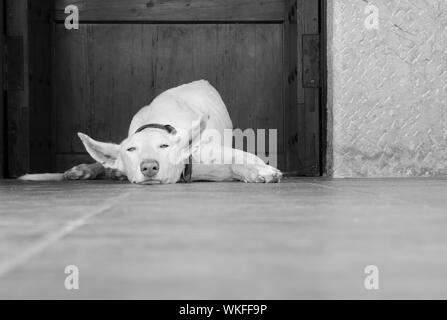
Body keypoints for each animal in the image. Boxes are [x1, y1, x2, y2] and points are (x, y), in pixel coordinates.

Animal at [20, 80, 284, 185]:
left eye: (164, 147)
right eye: (131, 149)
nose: (149, 167)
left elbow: (241, 160)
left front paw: (261, 171)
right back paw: (84, 170)